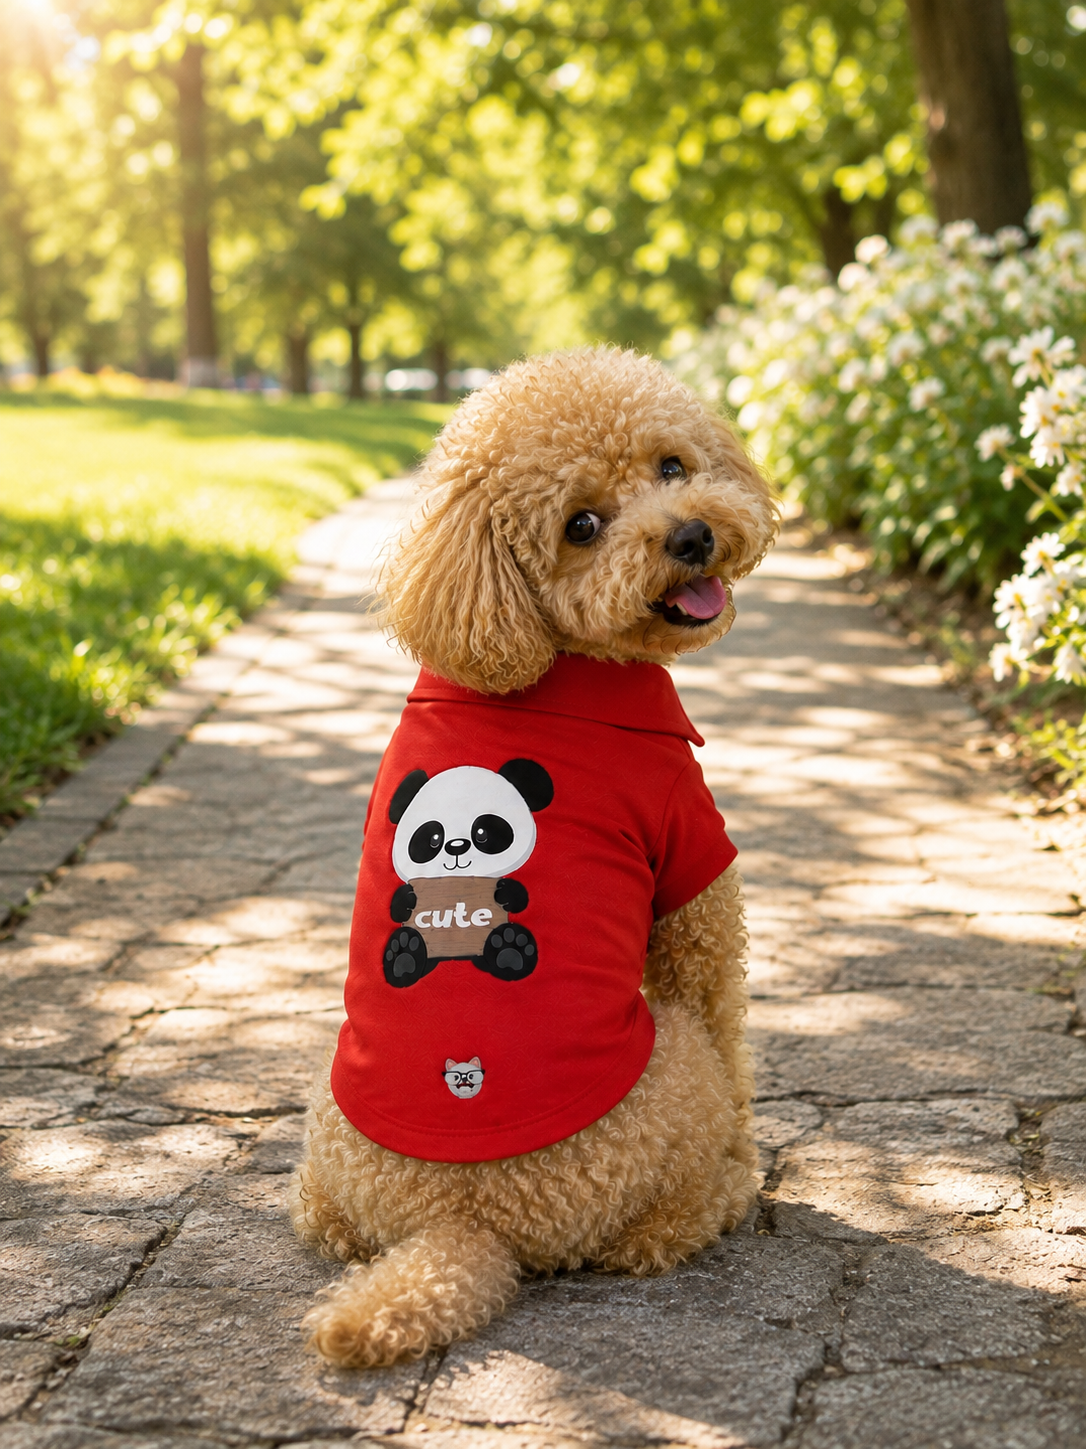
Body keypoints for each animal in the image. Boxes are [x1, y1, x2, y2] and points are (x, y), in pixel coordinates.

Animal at [381, 759, 553, 987]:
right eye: (434, 838)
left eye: (482, 832)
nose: (456, 847)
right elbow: (398, 907)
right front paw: (409, 898)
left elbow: (518, 898)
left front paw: (504, 893)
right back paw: (404, 955)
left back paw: (510, 950)